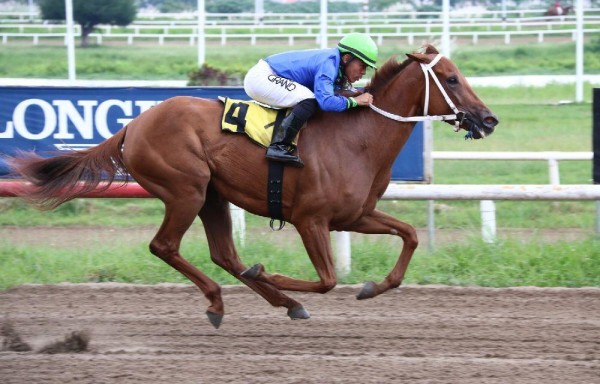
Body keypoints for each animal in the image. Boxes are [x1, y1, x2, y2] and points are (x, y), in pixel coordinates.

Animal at [8, 44, 496, 328]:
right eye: (452, 79)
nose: (489, 119)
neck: (357, 138)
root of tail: (133, 125)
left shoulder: (354, 215)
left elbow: (409, 235)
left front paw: (373, 287)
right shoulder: (310, 219)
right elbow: (326, 280)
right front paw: (270, 274)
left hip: (212, 196)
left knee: (223, 253)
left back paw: (271, 301)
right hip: (185, 190)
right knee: (165, 246)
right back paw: (226, 300)